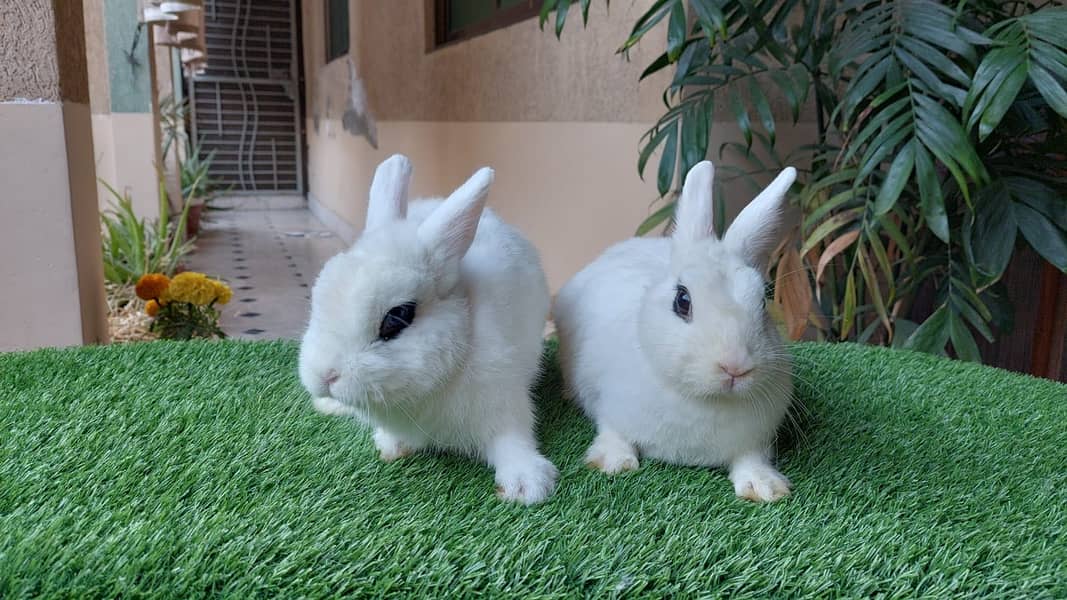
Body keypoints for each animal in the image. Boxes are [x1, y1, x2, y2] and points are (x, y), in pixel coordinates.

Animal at [299, 154, 557, 505]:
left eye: (397, 317)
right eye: (317, 299)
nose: (324, 376)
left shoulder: (504, 402)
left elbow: (513, 441)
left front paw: (526, 485)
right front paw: (392, 445)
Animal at [553, 161, 798, 502]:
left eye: (762, 301)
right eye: (682, 301)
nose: (735, 367)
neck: (702, 399)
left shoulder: (755, 441)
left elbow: (751, 459)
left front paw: (764, 486)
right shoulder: (607, 406)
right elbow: (612, 431)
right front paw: (613, 462)